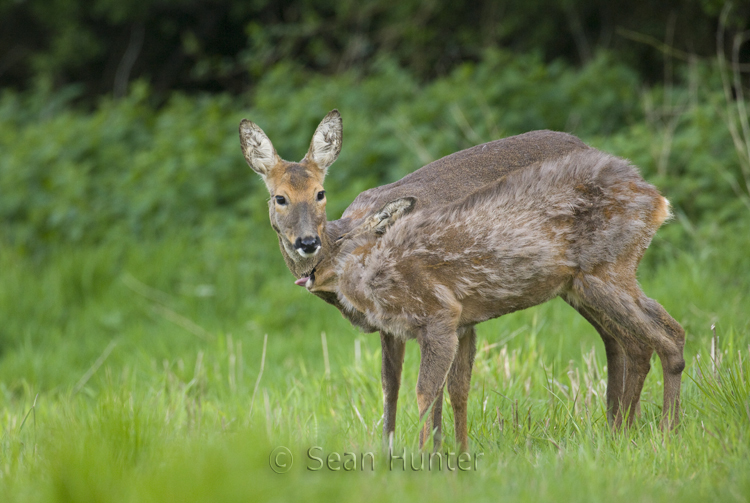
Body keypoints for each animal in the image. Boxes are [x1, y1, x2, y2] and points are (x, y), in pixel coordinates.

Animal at [241, 110, 688, 452]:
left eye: (320, 193)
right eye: (279, 198)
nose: (307, 244)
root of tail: (657, 197)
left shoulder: (448, 316)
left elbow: (443, 390)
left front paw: (438, 454)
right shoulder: (398, 329)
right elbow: (393, 388)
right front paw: (402, 452)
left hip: (596, 276)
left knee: (641, 339)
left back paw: (646, 431)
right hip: (580, 285)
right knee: (630, 338)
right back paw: (621, 428)